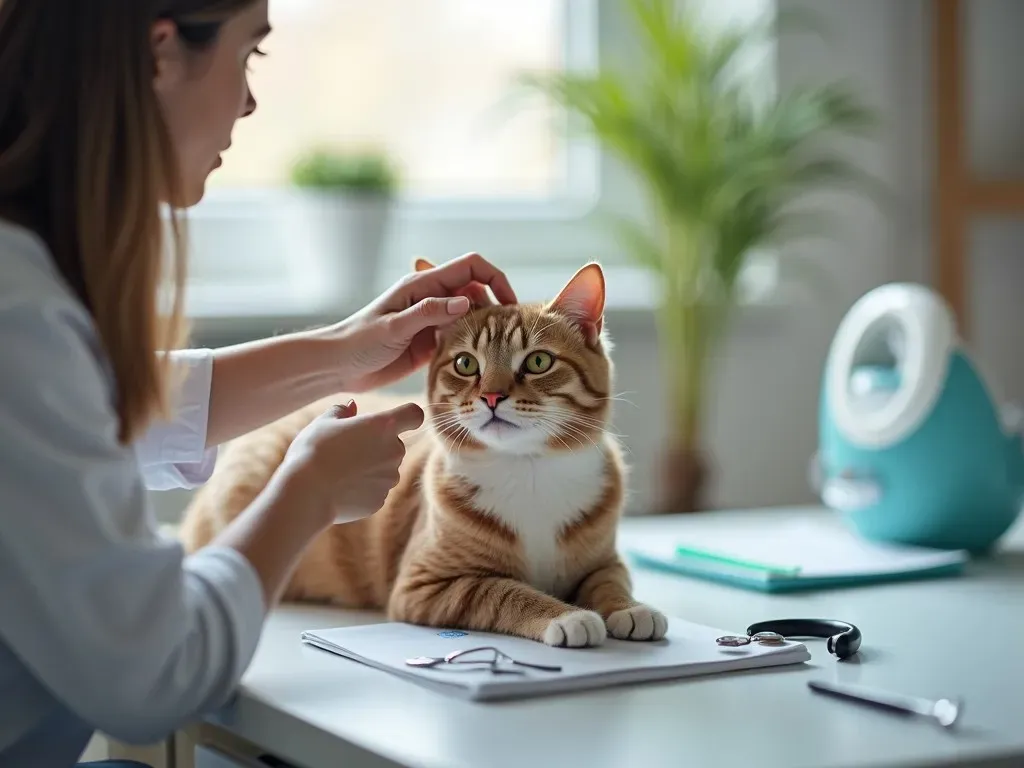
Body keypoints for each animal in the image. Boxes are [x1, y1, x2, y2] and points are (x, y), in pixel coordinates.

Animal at [180, 262, 667, 647]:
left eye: (538, 362)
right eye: (466, 364)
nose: (492, 396)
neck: (527, 469)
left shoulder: (604, 560)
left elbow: (610, 580)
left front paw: (629, 607)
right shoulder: (426, 585)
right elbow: (508, 592)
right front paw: (567, 615)